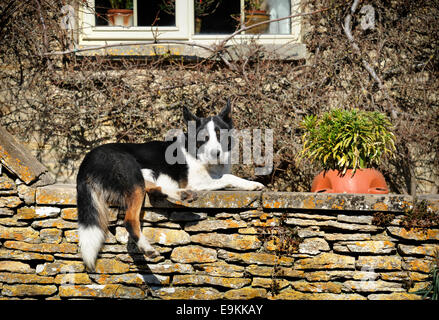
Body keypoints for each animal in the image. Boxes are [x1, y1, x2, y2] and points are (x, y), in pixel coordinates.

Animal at [75, 100, 264, 270]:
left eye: (220, 135)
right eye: (204, 138)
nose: (215, 153)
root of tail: (85, 163)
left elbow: (227, 175)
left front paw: (251, 184)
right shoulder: (195, 182)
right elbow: (228, 177)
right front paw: (250, 183)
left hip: (144, 175)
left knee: (154, 190)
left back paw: (183, 194)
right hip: (131, 171)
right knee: (130, 219)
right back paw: (147, 248)